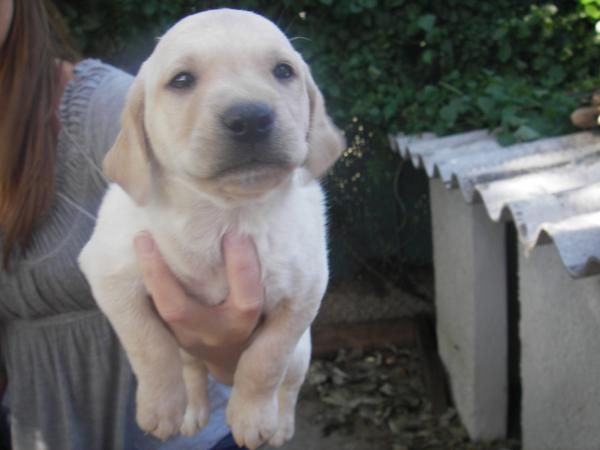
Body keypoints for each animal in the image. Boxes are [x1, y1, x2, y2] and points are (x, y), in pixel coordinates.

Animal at [78, 7, 344, 450]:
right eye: (182, 80)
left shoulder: (305, 293)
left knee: (288, 384)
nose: (251, 117)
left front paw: (252, 417)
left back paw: (280, 424)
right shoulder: (110, 275)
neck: (223, 214)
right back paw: (190, 410)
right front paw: (161, 408)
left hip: (302, 352)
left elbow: (264, 360)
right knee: (191, 368)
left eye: (283, 71)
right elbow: (149, 345)